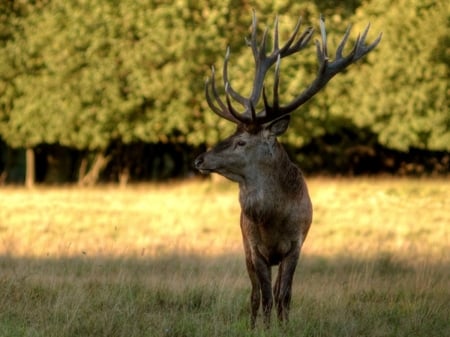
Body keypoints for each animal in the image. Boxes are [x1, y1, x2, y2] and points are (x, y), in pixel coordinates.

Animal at [193, 11, 380, 326]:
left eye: (241, 141)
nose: (199, 160)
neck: (273, 220)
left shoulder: (296, 244)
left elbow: (284, 296)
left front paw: (283, 327)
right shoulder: (255, 247)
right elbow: (266, 297)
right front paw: (264, 328)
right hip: (244, 244)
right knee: (255, 294)